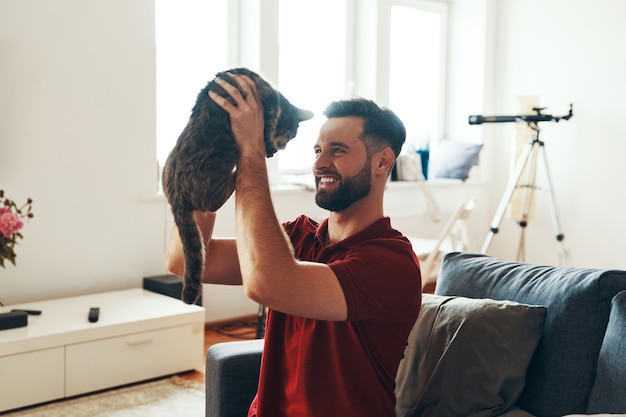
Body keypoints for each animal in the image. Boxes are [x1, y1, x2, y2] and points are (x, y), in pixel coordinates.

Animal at [161, 67, 312, 302]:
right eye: (292, 135)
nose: (284, 147)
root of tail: (174, 194)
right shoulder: (269, 103)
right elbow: (268, 128)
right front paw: (269, 147)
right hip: (214, 183)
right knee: (212, 203)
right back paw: (236, 174)